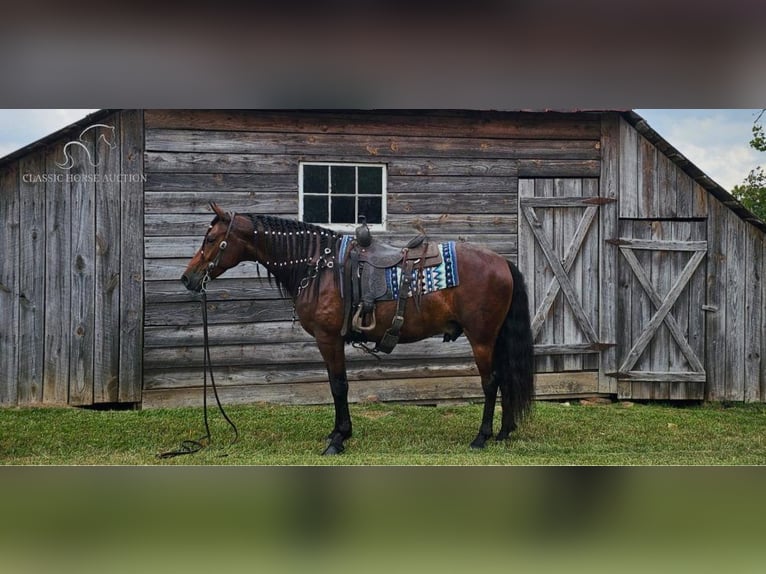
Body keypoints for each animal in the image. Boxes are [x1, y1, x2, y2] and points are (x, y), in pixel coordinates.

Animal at [183, 205, 536, 456]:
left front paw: (338, 438)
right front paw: (337, 433)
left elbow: (339, 386)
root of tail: (502, 262)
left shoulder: (328, 339)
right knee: (504, 378)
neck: (317, 267)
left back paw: (482, 437)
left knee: (490, 382)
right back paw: (504, 431)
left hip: (481, 338)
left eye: (211, 240)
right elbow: (335, 385)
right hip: (493, 338)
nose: (188, 278)